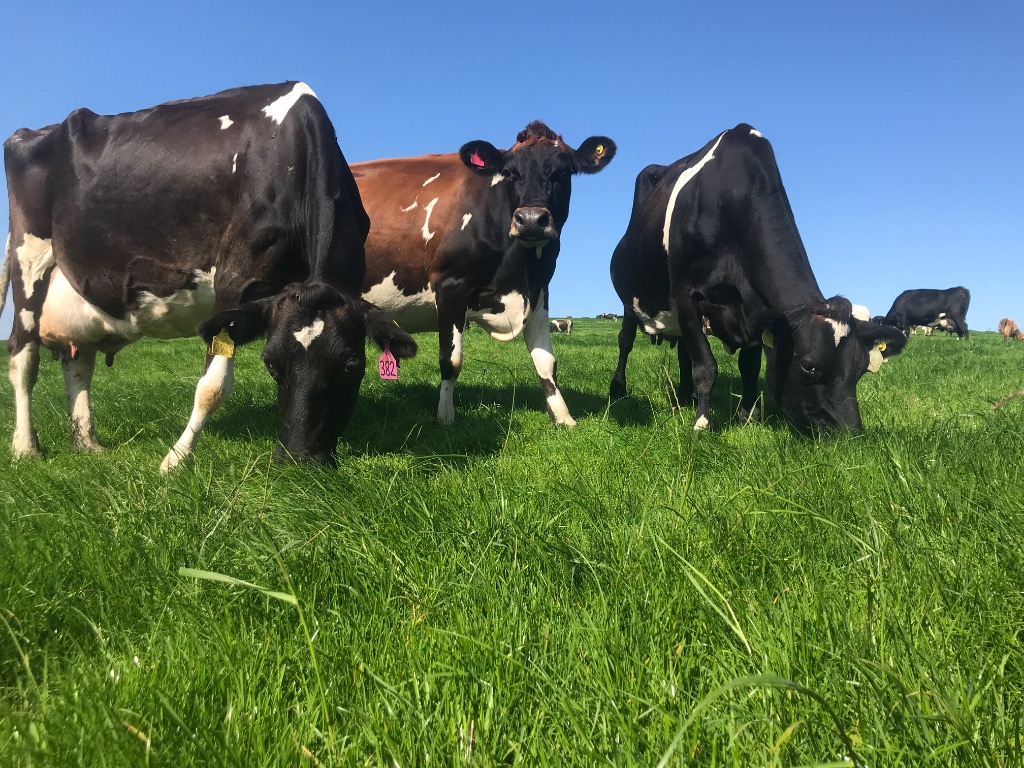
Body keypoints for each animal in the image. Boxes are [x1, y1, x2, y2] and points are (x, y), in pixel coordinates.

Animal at [2, 82, 417, 471]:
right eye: (270, 363)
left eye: (352, 366)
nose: (298, 460)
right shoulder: (235, 277)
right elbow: (212, 387)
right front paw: (175, 459)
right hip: (28, 258)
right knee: (23, 357)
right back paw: (25, 447)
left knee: (78, 363)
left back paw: (87, 443)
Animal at [353, 121, 614, 426]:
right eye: (510, 172)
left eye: (563, 172)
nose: (531, 220)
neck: (520, 272)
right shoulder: (450, 288)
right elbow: (451, 361)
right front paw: (445, 417)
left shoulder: (540, 291)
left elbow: (546, 361)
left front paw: (563, 417)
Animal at [609, 124, 907, 433]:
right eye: (809, 366)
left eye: (860, 370)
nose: (850, 434)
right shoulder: (685, 293)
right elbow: (706, 365)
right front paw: (703, 423)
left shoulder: (753, 309)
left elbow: (748, 366)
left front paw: (748, 416)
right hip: (631, 301)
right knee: (626, 340)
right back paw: (618, 390)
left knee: (683, 350)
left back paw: (686, 395)